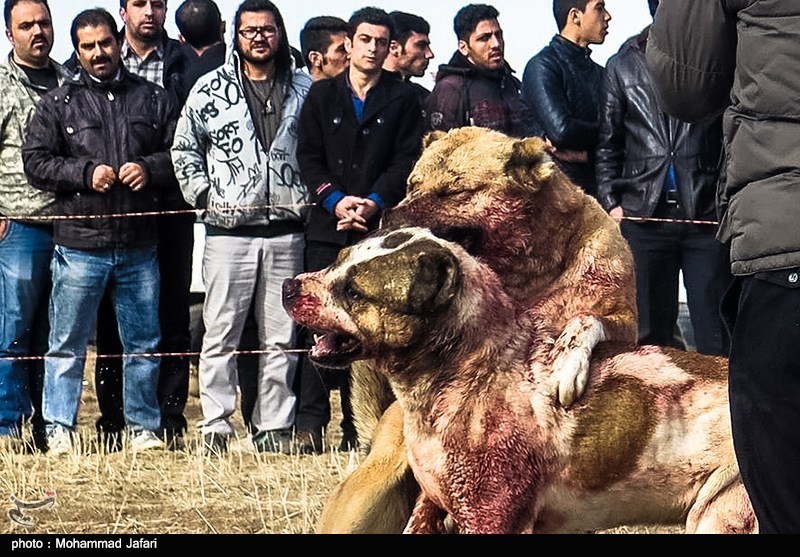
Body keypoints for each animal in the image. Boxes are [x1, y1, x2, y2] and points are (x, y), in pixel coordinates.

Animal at [282, 227, 756, 536]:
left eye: (354, 291)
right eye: (337, 261)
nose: (289, 285)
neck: (470, 367)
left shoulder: (492, 519)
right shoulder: (433, 513)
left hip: (720, 515)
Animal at [350, 127, 636, 448]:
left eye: (454, 193)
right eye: (411, 186)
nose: (388, 216)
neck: (527, 277)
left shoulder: (625, 321)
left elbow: (587, 318)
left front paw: (567, 361)